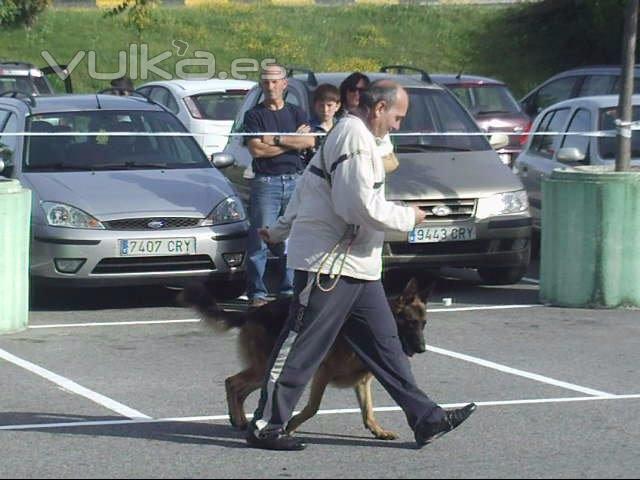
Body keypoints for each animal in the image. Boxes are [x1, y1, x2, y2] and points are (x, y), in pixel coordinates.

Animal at [179, 278, 436, 438]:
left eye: (424, 324)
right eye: (410, 323)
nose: (423, 349)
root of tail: (253, 313)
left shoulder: (362, 382)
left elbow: (368, 410)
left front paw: (377, 430)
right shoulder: (321, 373)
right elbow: (313, 407)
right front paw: (291, 426)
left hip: (265, 372)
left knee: (239, 388)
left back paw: (239, 420)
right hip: (266, 368)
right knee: (232, 382)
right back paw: (240, 420)